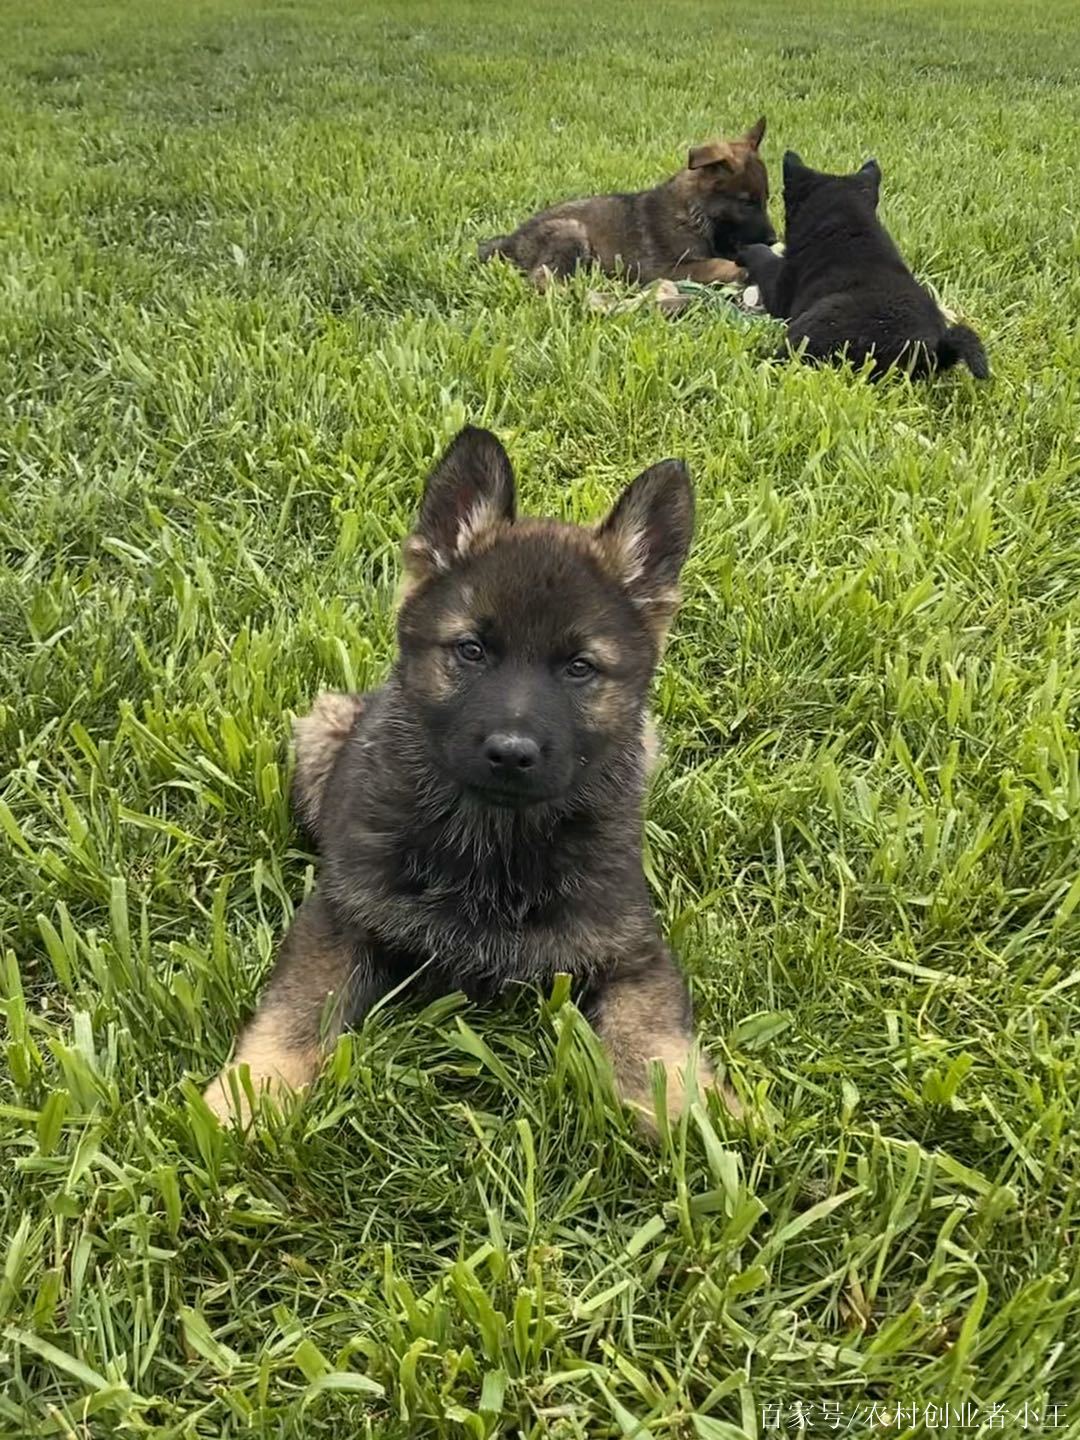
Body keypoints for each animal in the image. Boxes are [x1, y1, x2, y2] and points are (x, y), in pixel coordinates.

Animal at [205, 426, 743, 1134]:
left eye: (579, 667)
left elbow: (654, 1043)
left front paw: (698, 1121)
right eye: (471, 650)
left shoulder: (633, 954)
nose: (511, 754)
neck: (498, 837)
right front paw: (250, 1095)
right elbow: (296, 1011)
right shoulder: (339, 920)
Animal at [743, 151, 990, 380]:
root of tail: (929, 351)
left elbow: (765, 261)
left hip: (809, 330)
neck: (846, 223)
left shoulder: (781, 288)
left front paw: (748, 249)